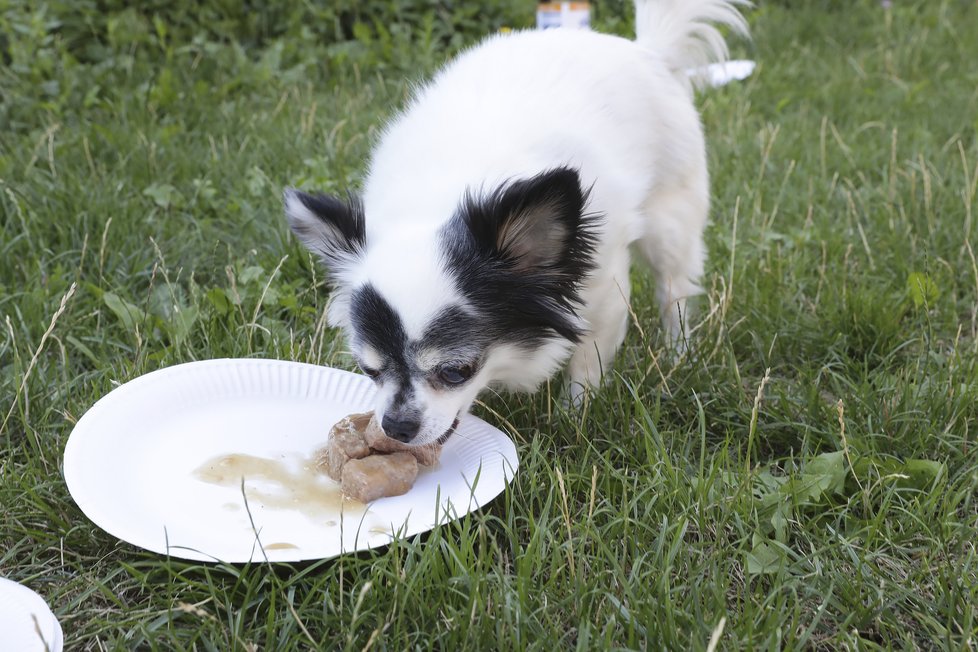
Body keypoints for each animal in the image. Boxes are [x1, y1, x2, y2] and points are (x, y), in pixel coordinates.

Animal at [282, 0, 748, 446]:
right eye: (370, 370)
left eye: (456, 372)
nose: (396, 426)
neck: (440, 201)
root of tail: (646, 50)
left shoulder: (602, 290)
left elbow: (588, 359)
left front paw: (574, 419)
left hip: (670, 218)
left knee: (675, 291)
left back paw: (676, 356)